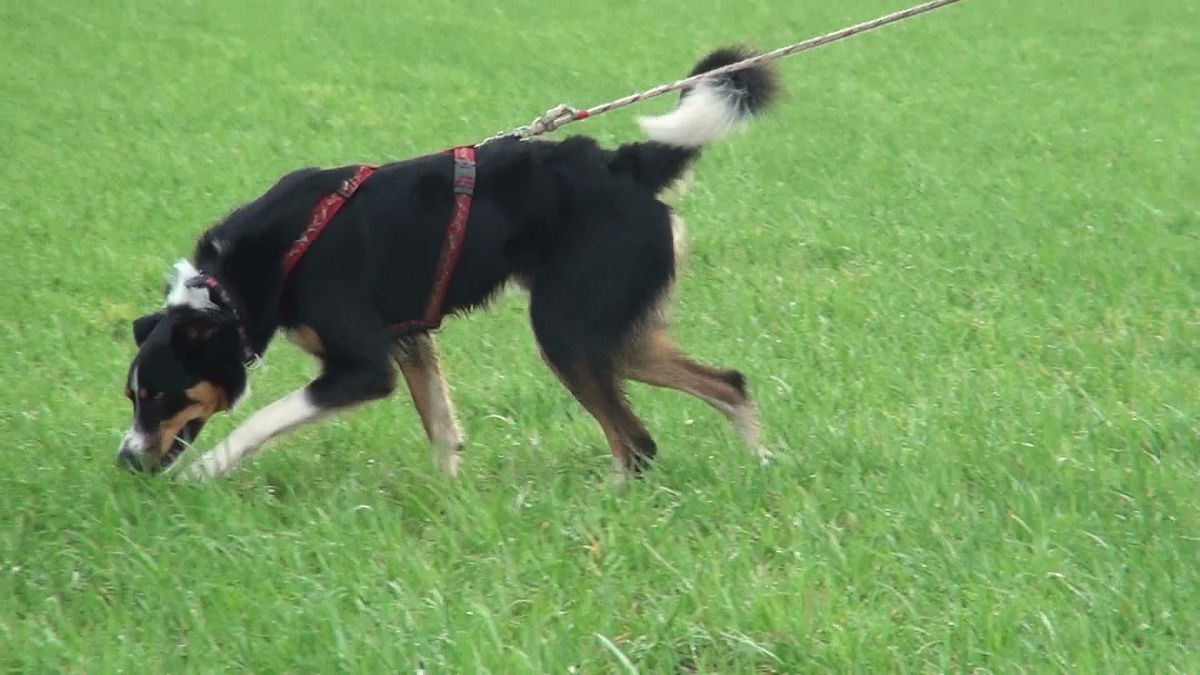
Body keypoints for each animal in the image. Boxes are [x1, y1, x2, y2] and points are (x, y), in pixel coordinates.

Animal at [119, 47, 777, 478]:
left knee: (636, 442)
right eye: (132, 395)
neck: (238, 283)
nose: (126, 461)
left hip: (567, 332)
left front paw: (204, 472)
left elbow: (263, 421)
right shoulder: (410, 339)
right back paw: (762, 462)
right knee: (728, 383)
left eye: (158, 395)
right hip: (614, 332)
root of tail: (621, 165)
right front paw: (449, 502)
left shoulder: (363, 367)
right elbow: (440, 429)